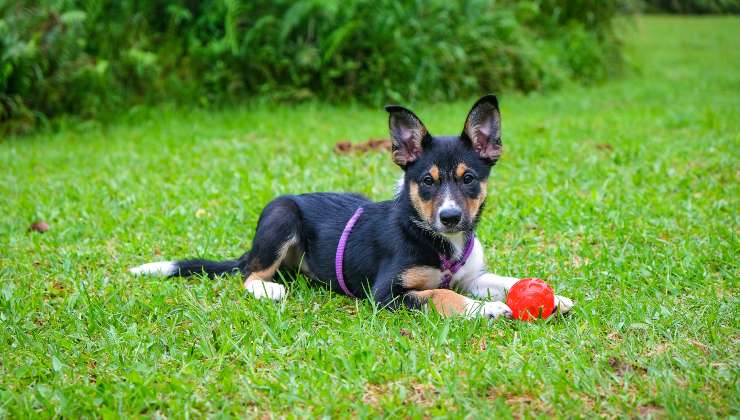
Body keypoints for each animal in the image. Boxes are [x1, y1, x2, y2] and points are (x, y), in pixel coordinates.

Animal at [132, 95, 572, 318]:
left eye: (468, 179)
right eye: (427, 182)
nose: (450, 218)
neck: (436, 239)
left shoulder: (470, 276)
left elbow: (507, 281)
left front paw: (553, 298)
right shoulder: (385, 293)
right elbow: (438, 295)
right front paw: (484, 310)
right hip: (281, 216)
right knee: (249, 274)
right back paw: (269, 289)